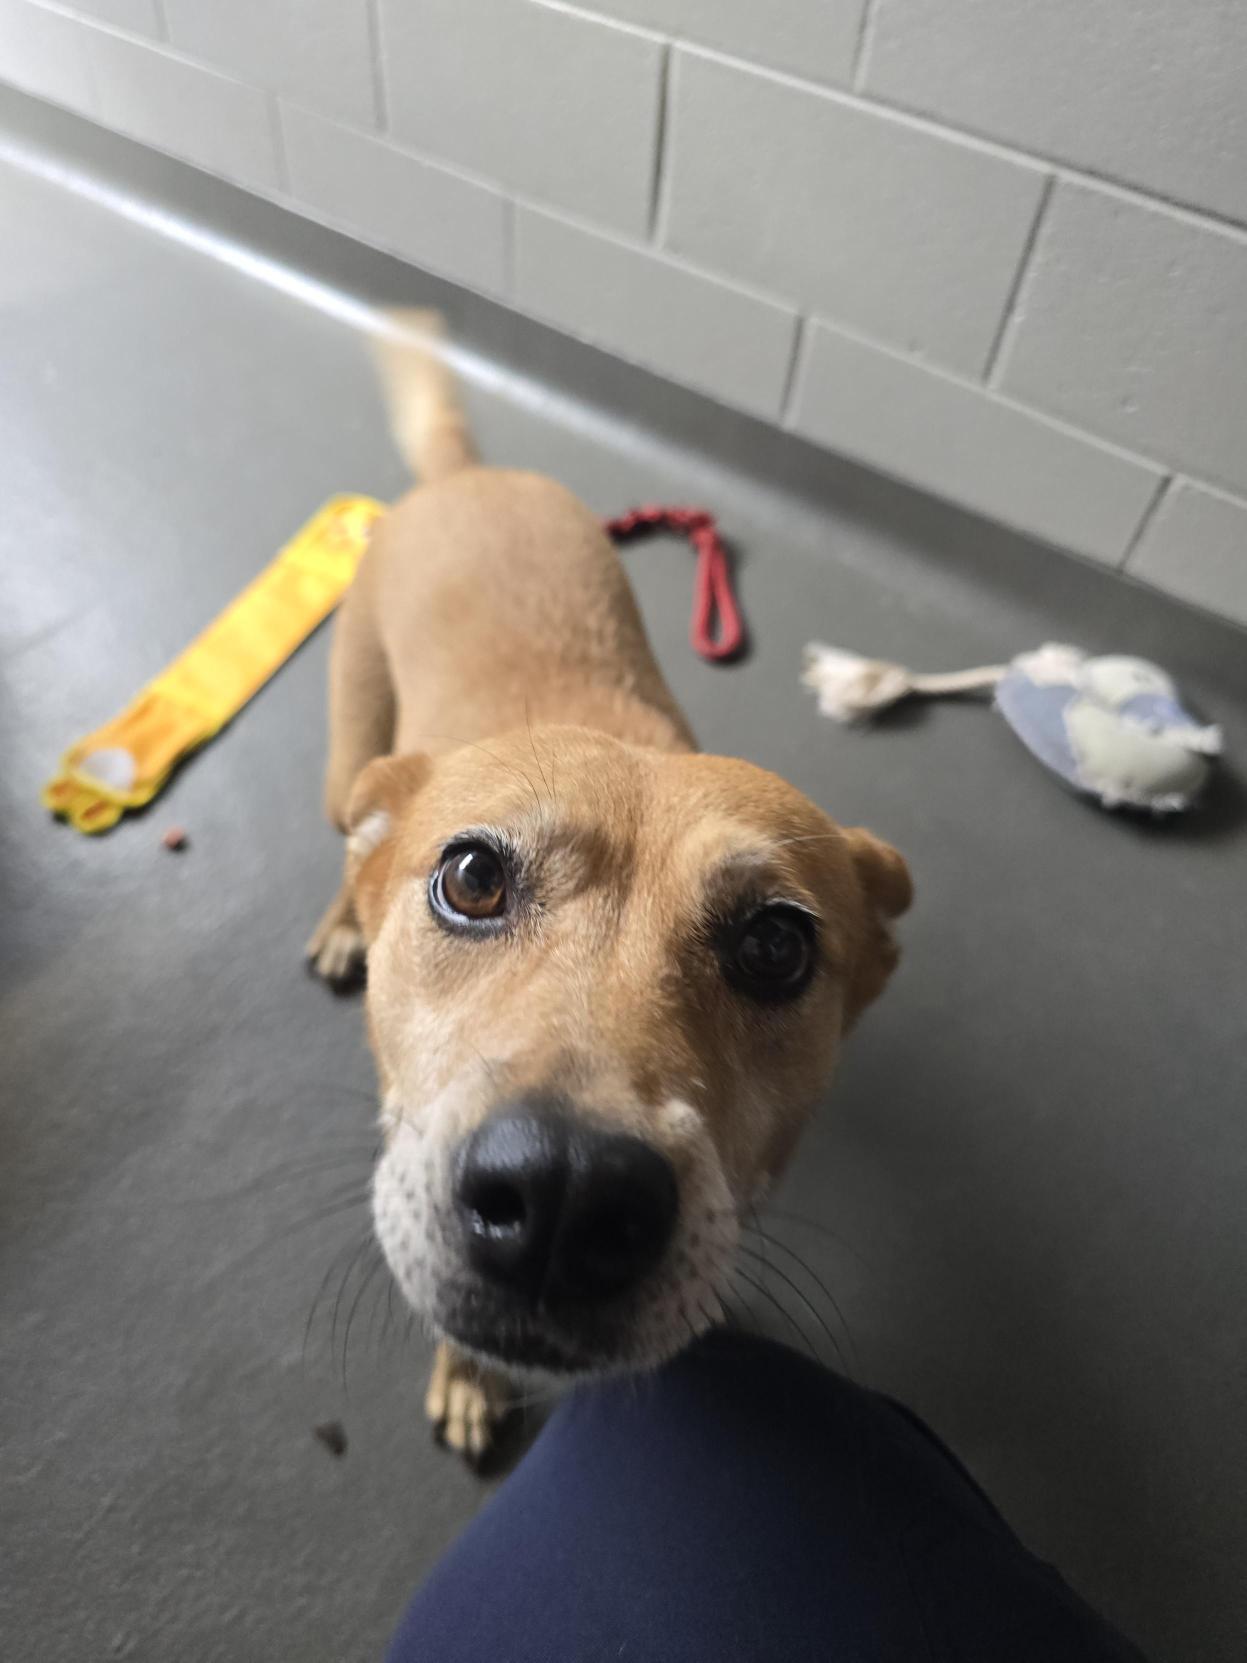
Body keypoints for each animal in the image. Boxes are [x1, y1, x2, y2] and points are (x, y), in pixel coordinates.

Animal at [307, 314, 912, 1462]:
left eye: (776, 946)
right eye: (470, 877)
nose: (566, 1192)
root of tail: (472, 474)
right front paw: (467, 1377)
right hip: (350, 740)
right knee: (348, 836)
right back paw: (340, 919)